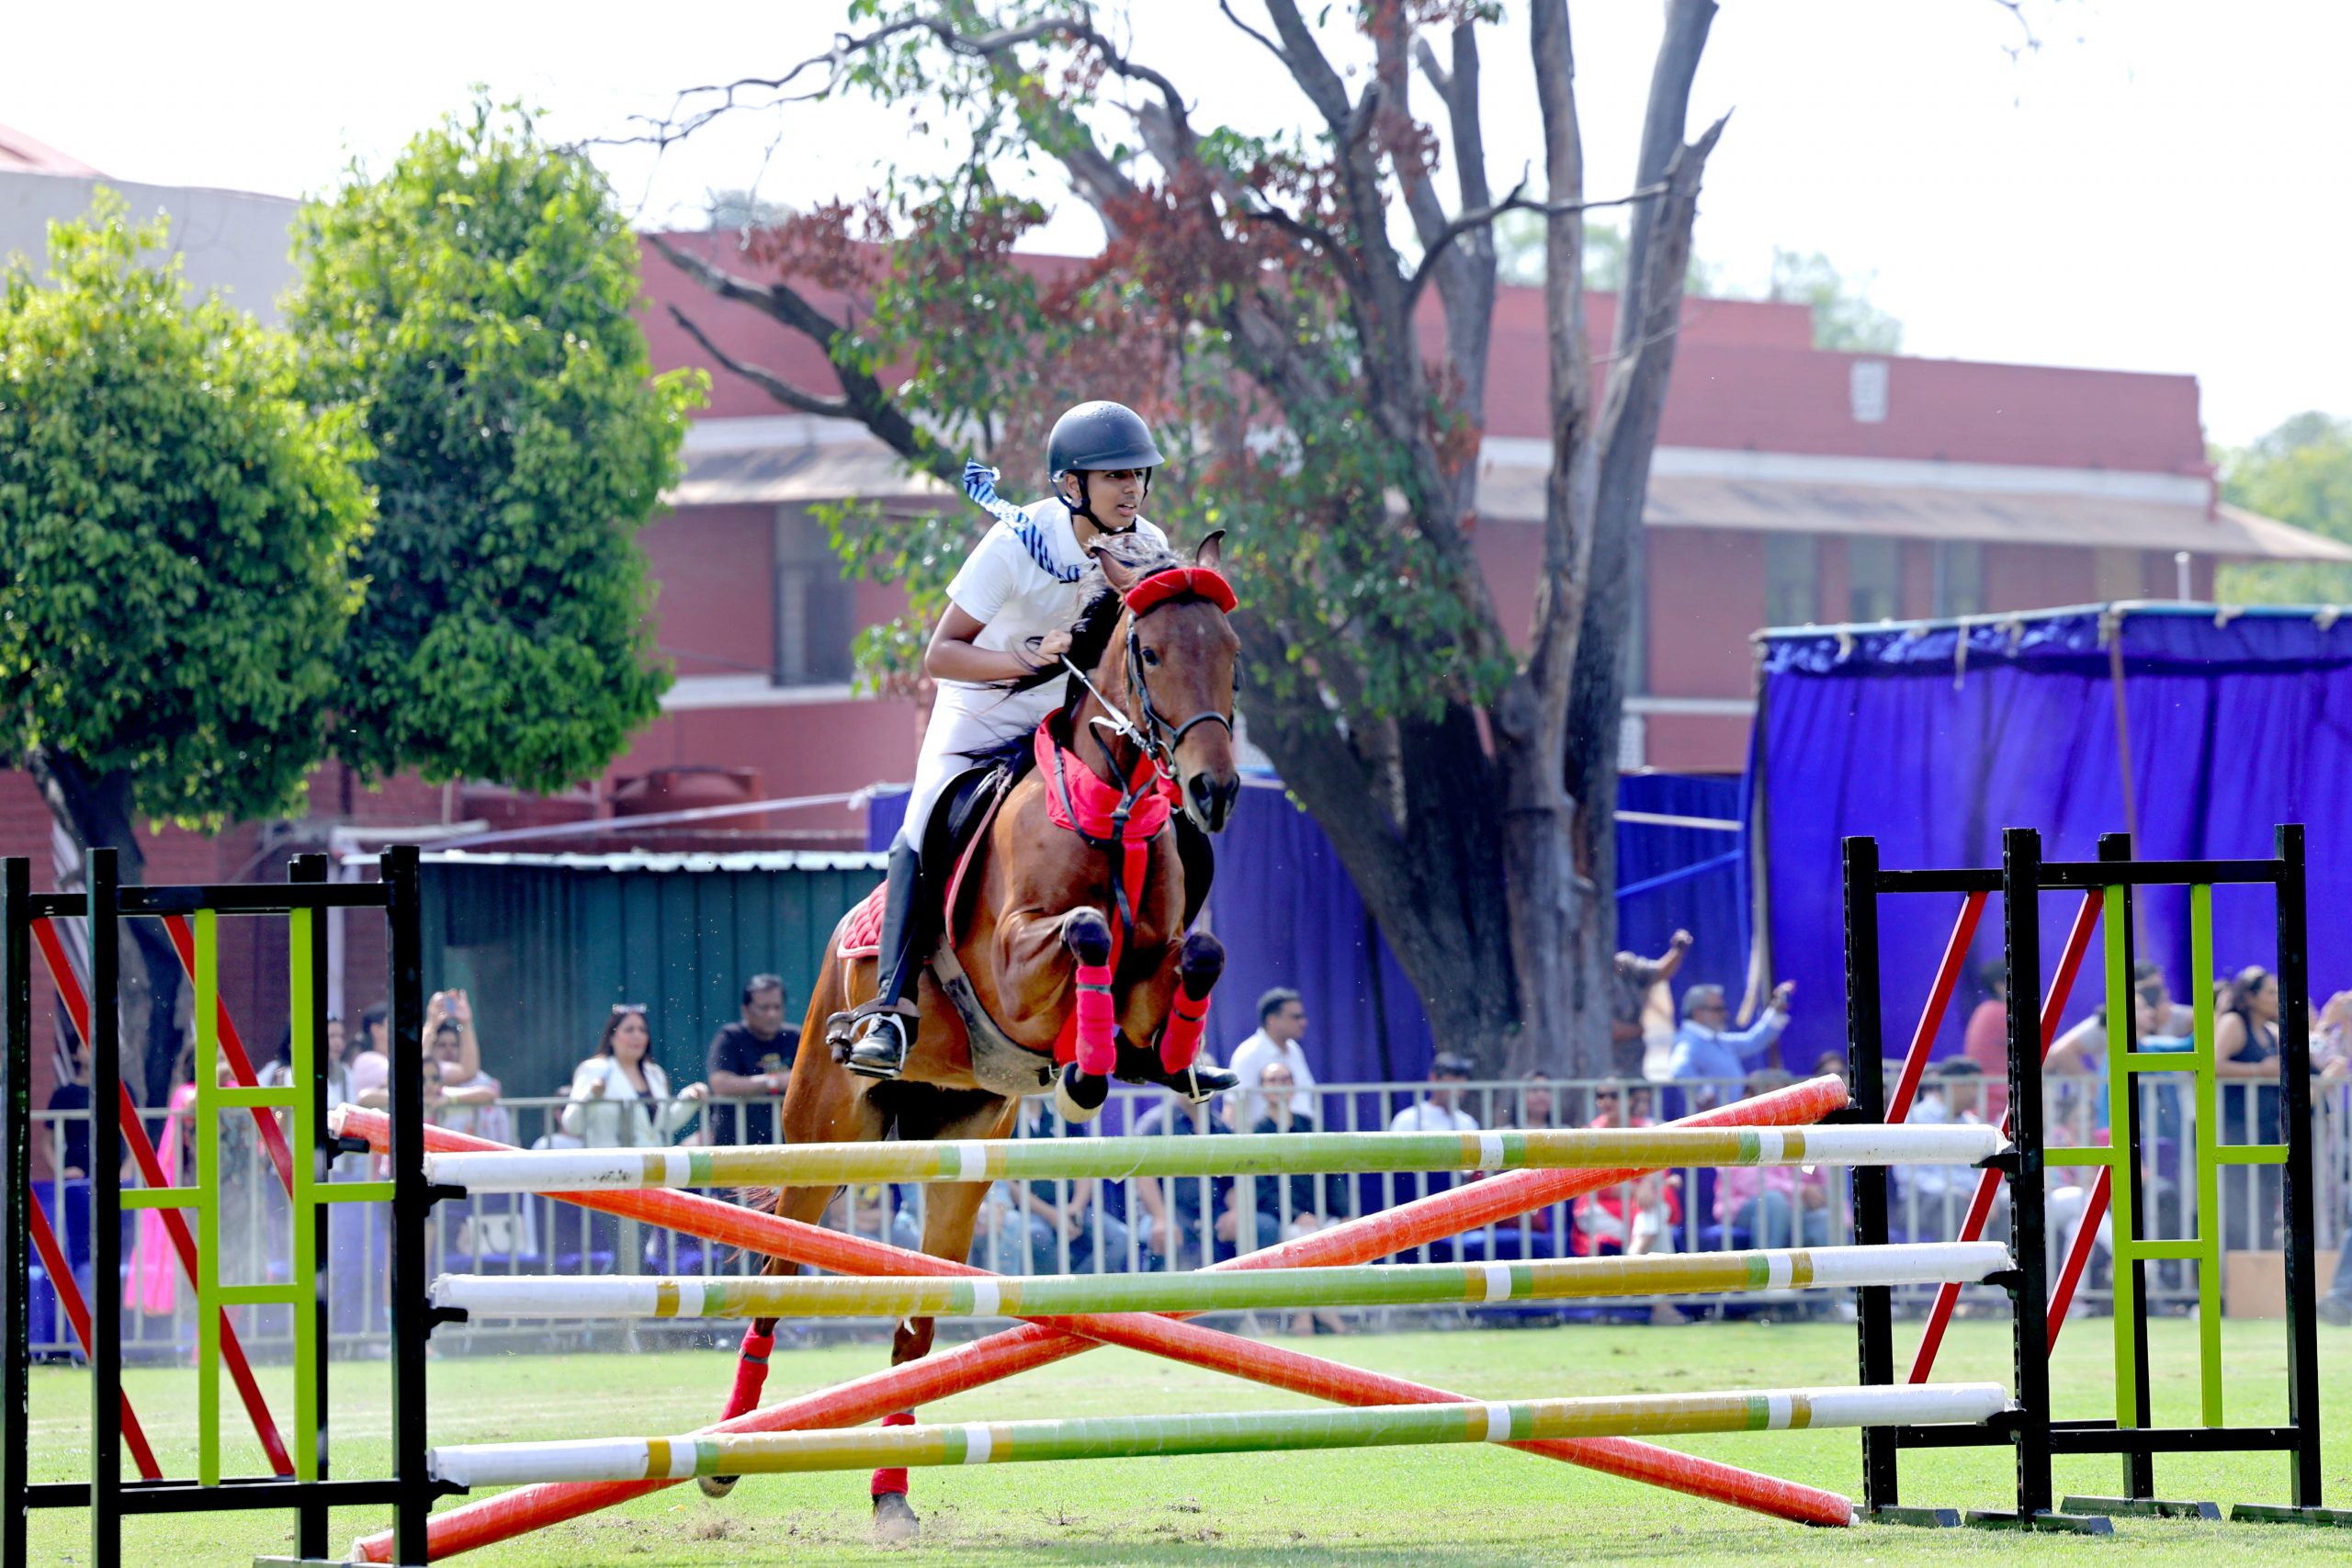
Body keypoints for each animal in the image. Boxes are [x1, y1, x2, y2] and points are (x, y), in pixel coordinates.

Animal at [699, 529, 1244, 1541]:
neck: (1112, 811)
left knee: (916, 1320)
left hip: (961, 1153)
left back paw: (889, 1493)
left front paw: (1144, 1064)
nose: (1213, 790)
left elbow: (1195, 954)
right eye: (1150, 654)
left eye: (1230, 652)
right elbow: (1087, 932)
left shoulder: (1154, 968)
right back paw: (724, 1455)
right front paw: (1085, 1071)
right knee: (776, 1274)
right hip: (826, 1136)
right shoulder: (1013, 968)